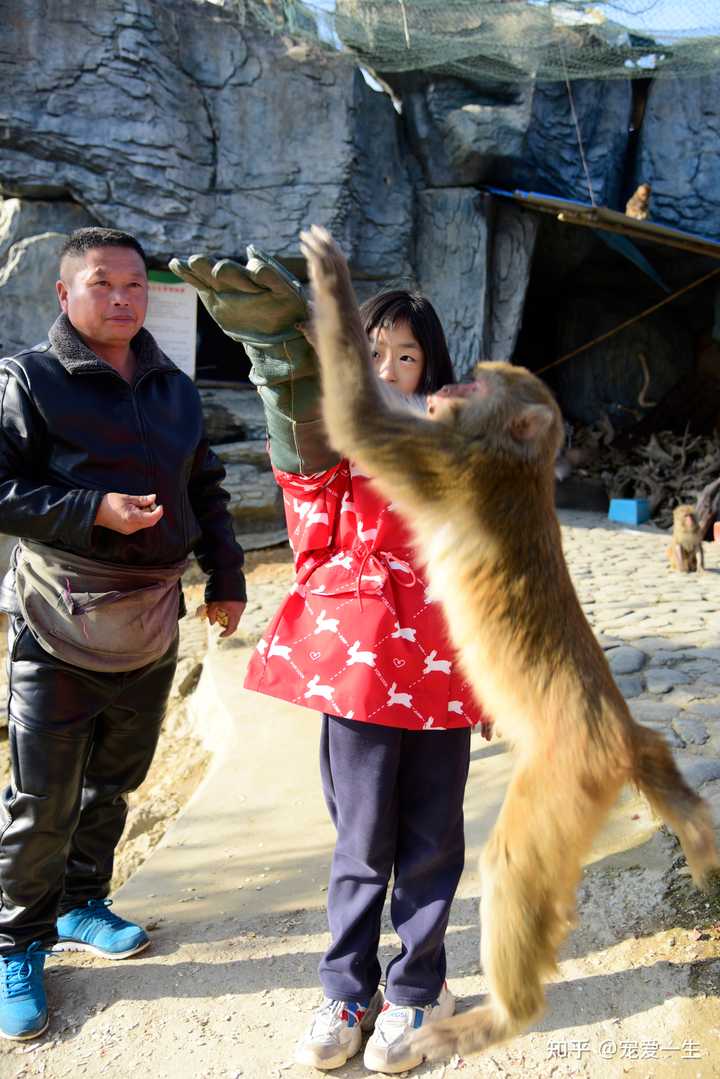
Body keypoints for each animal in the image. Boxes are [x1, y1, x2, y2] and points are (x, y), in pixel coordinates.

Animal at [297, 225, 720, 1061]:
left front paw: (328, 280)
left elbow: (356, 420)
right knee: (665, 769)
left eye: (476, 386)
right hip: (633, 748)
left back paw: (502, 1015)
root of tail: (613, 734)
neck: (514, 458)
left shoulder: (448, 461)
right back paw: (700, 839)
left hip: (564, 777)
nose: (445, 384)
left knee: (514, 865)